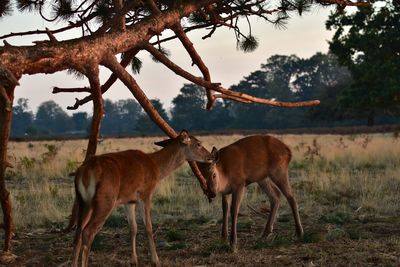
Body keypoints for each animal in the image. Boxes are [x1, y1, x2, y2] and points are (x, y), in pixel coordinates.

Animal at [72, 131, 212, 267]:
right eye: (198, 144)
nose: (211, 157)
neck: (156, 167)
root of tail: (84, 173)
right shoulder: (145, 194)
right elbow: (148, 226)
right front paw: (156, 260)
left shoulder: (129, 200)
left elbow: (133, 228)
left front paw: (133, 260)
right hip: (105, 200)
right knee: (88, 231)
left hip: (83, 201)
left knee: (78, 231)